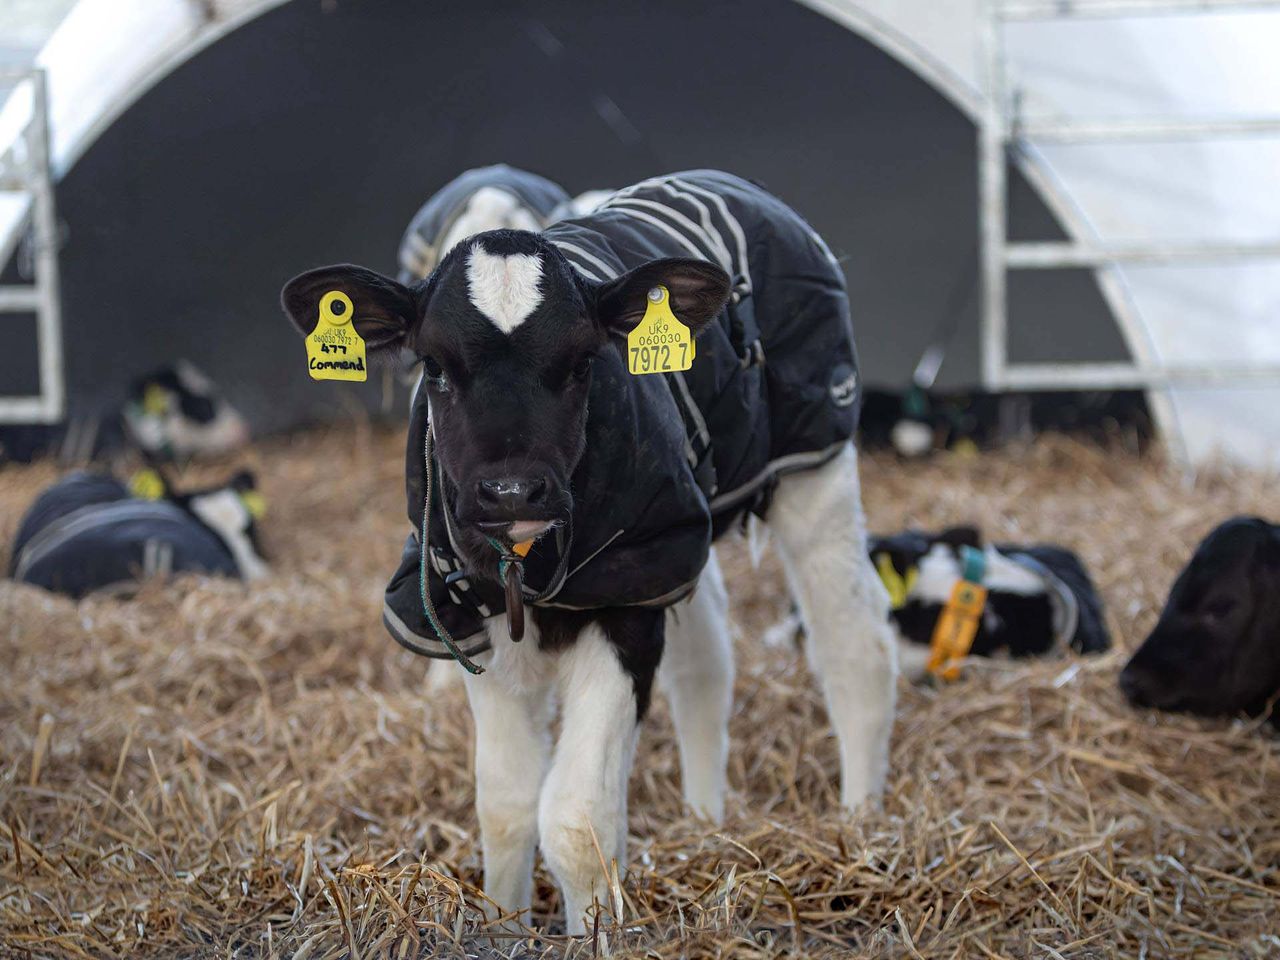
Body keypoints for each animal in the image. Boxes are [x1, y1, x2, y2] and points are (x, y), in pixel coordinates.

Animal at [280, 170, 896, 934]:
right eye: (435, 369)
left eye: (582, 364)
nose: (511, 488)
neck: (526, 565)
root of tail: (719, 178)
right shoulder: (473, 613)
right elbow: (505, 803)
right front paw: (503, 928)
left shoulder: (623, 609)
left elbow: (576, 818)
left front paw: (593, 932)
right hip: (680, 536)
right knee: (707, 663)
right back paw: (704, 818)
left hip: (813, 456)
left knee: (855, 646)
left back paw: (860, 824)